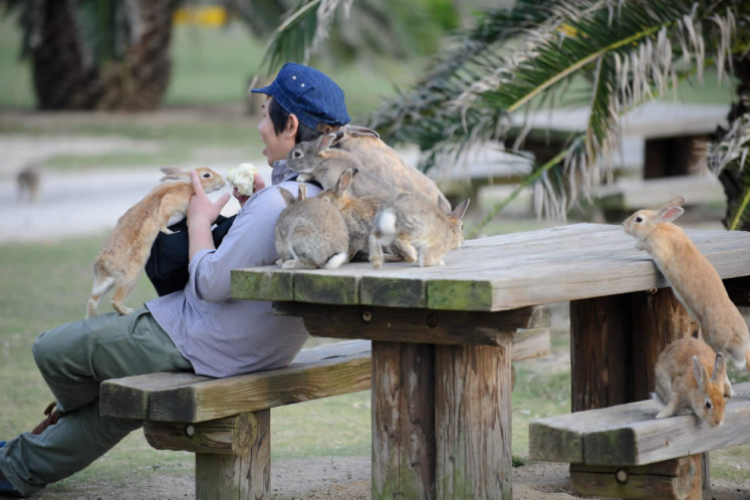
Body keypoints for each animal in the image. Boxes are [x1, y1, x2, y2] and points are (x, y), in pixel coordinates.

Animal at [87, 167, 225, 316]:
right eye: (206, 175)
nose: (222, 182)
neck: (189, 185)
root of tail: (102, 266)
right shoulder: (169, 203)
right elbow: (163, 223)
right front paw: (171, 232)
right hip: (130, 277)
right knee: (115, 300)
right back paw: (128, 311)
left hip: (107, 283)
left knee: (93, 300)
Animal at [624, 194, 750, 394]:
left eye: (639, 219)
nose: (624, 224)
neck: (658, 226)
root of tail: (742, 345)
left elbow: (643, 244)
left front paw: (636, 245)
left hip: (713, 340)